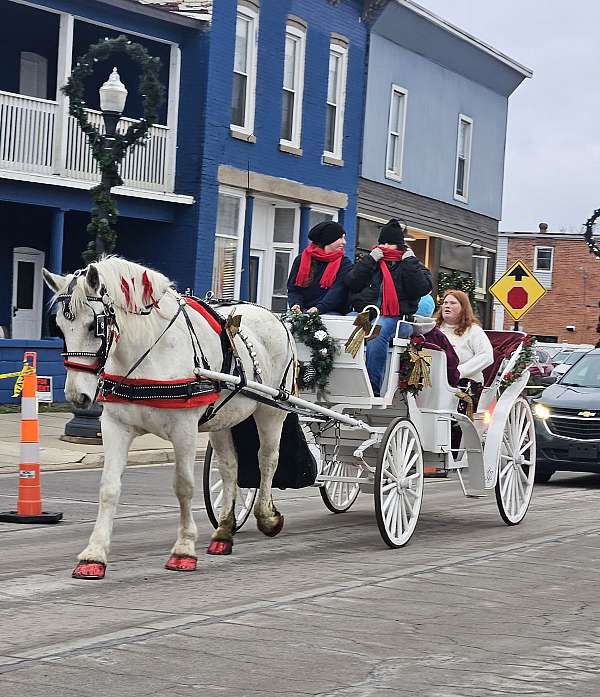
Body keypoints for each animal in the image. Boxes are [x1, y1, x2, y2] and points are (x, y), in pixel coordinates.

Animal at [42, 256, 296, 576]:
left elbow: (184, 487)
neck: (148, 351)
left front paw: (184, 549)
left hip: (271, 410)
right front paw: (94, 555)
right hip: (221, 418)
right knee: (229, 467)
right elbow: (109, 487)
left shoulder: (184, 428)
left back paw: (267, 516)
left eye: (94, 325)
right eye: (59, 326)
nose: (78, 396)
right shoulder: (115, 426)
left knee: (267, 460)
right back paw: (224, 532)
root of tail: (275, 316)